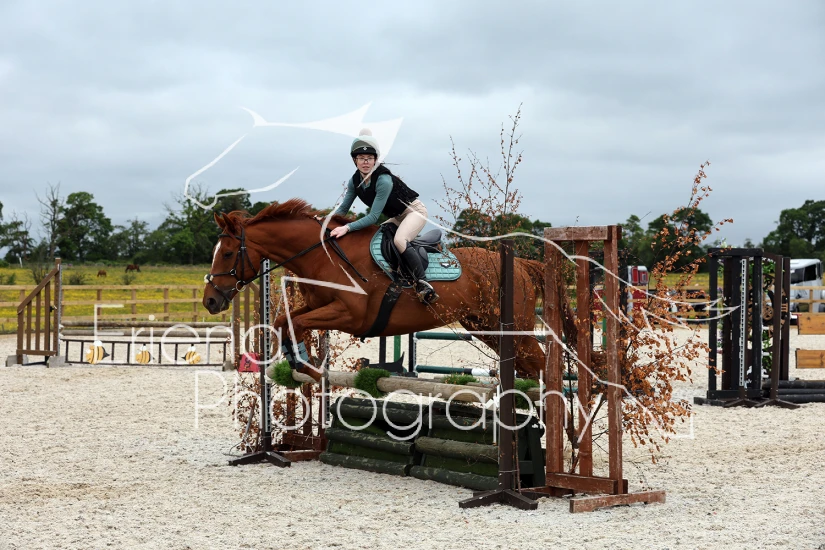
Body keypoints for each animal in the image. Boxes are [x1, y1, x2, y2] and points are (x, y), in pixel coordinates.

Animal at [202, 199, 576, 380]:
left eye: (229, 253)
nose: (210, 301)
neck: (323, 255)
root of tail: (523, 264)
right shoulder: (318, 307)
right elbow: (284, 322)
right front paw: (303, 362)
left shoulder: (350, 315)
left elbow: (295, 323)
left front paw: (306, 364)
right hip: (484, 327)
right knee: (527, 366)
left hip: (512, 325)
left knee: (540, 365)